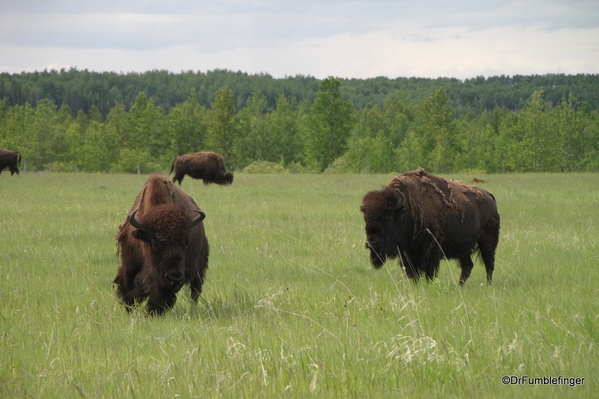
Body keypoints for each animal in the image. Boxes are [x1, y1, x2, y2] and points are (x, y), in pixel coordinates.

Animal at [113, 173, 210, 318]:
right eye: (155, 243)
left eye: (186, 243)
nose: (174, 277)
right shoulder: (129, 268)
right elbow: (129, 293)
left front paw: (154, 313)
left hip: (199, 268)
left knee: (195, 292)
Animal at [360, 167, 502, 286]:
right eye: (366, 218)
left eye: (387, 217)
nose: (372, 243)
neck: (406, 211)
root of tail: (489, 196)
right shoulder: (408, 253)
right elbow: (413, 272)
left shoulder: (430, 248)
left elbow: (429, 271)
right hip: (464, 247)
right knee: (467, 266)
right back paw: (460, 286)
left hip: (487, 240)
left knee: (489, 263)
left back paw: (488, 285)